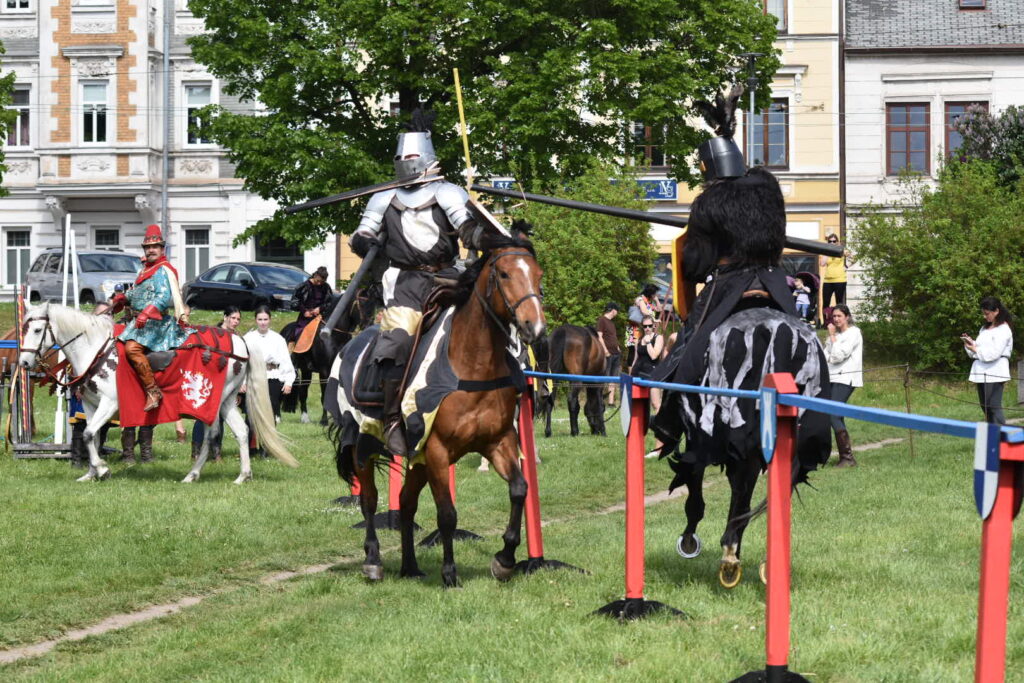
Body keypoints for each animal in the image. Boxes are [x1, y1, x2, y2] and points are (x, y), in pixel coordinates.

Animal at [17, 303, 297, 483]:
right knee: (240, 431)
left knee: (212, 434)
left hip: (212, 401)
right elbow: (91, 436)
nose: (24, 363)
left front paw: (101, 469)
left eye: (38, 330)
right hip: (227, 400)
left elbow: (88, 434)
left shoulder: (110, 403)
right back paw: (237, 476)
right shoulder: (89, 405)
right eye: (24, 329)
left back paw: (198, 473)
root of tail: (240, 342)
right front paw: (90, 473)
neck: (95, 348)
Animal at [282, 283, 382, 425]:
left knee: (303, 392)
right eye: (360, 304)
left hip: (306, 370)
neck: (333, 336)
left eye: (373, 304)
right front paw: (324, 421)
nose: (368, 325)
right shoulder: (324, 371)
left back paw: (305, 418)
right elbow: (324, 395)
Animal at [329, 235, 545, 587]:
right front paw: (449, 573)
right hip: (363, 445)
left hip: (416, 460)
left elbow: (519, 490)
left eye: (538, 275)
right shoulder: (438, 451)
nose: (534, 327)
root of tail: (351, 344)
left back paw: (409, 566)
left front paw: (505, 559)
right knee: (369, 500)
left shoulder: (498, 442)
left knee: (406, 502)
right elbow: (447, 514)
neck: (471, 365)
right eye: (504, 274)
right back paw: (373, 560)